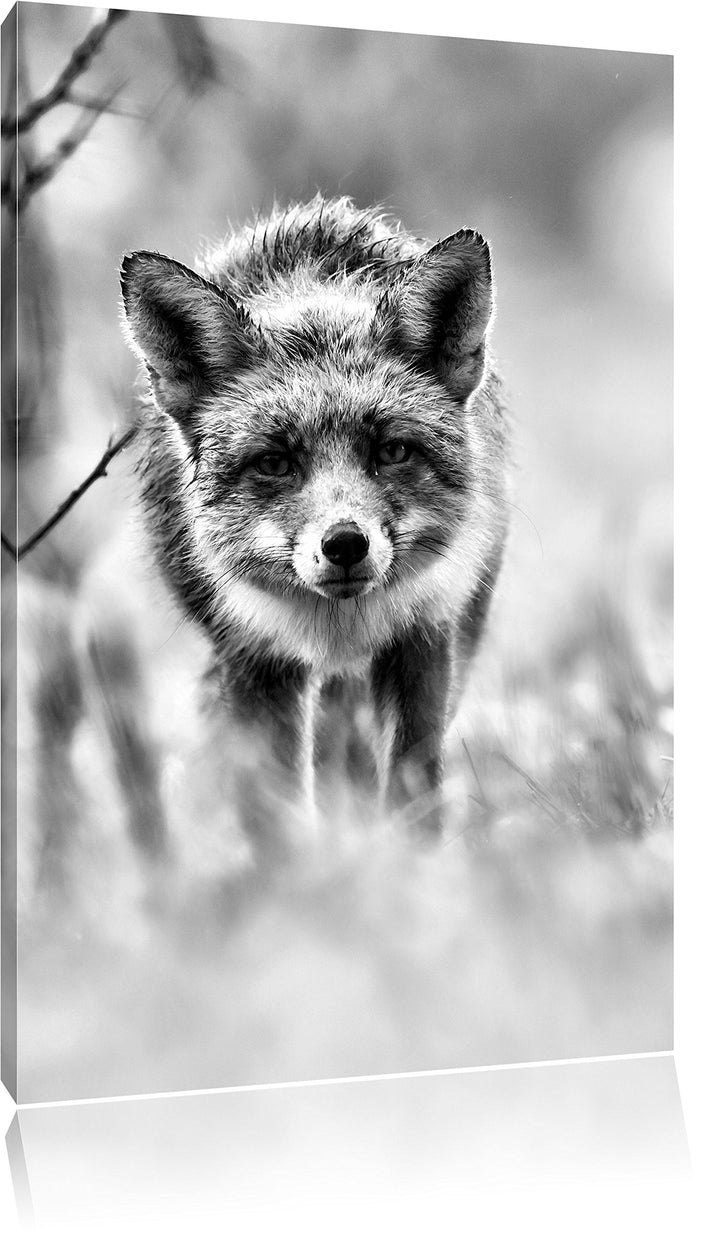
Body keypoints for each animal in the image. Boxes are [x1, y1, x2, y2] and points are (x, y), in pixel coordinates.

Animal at [120, 196, 509, 838]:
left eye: (392, 451)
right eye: (275, 463)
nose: (345, 543)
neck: (339, 627)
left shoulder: (425, 636)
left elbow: (413, 791)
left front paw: (410, 863)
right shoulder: (253, 658)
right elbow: (272, 816)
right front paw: (303, 869)